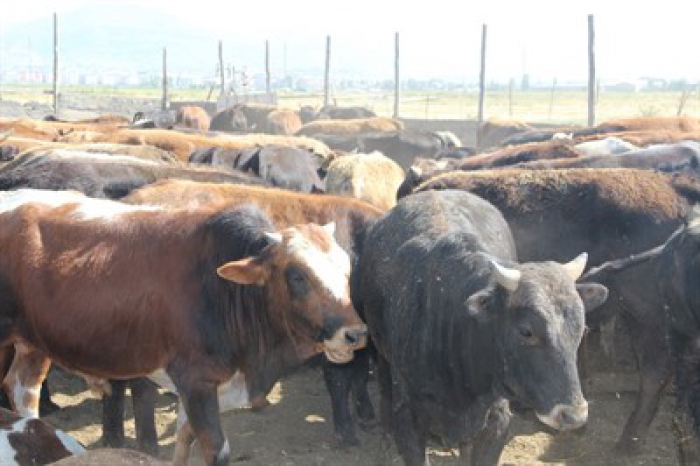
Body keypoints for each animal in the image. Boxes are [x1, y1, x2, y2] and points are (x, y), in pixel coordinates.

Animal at [0, 187, 366, 464]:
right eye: (297, 275)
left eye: (347, 269)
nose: (355, 333)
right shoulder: (196, 380)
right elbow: (215, 448)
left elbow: (183, 438)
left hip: (35, 344)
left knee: (22, 390)